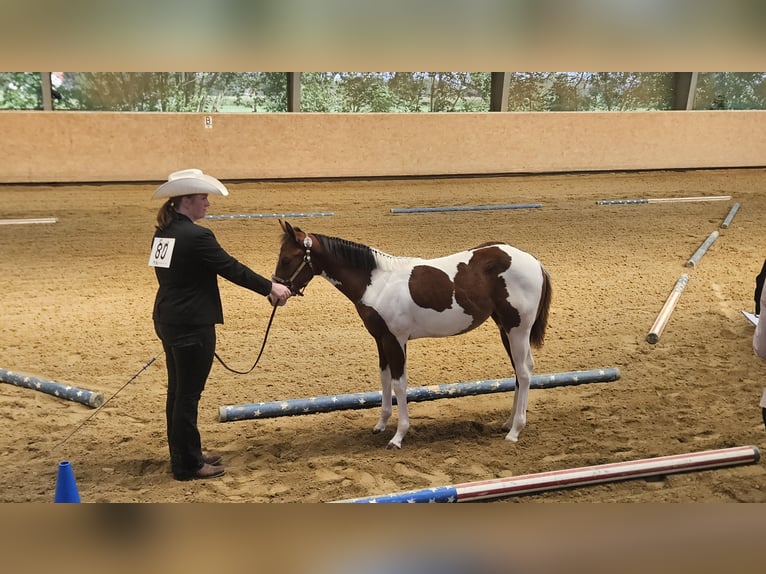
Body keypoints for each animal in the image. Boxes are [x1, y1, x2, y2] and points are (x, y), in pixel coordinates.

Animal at [272, 220, 552, 449]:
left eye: (287, 259)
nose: (275, 294)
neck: (377, 283)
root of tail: (535, 262)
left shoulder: (395, 340)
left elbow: (399, 383)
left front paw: (398, 436)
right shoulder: (381, 340)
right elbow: (385, 379)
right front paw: (381, 425)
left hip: (518, 328)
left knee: (524, 373)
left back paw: (514, 431)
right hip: (506, 329)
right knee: (520, 371)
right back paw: (508, 423)